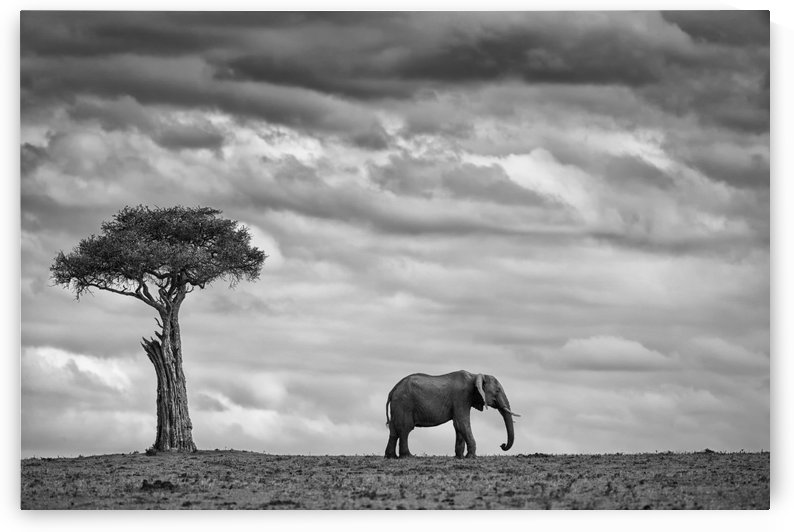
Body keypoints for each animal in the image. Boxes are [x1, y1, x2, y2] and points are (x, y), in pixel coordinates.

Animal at [384, 370, 520, 459]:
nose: (502, 445)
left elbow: (459, 426)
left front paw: (459, 457)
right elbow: (462, 423)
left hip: (398, 405)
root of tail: (392, 390)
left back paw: (390, 457)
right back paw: (408, 456)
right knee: (405, 428)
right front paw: (471, 457)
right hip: (404, 403)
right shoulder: (461, 397)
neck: (475, 376)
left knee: (394, 430)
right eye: (497, 391)